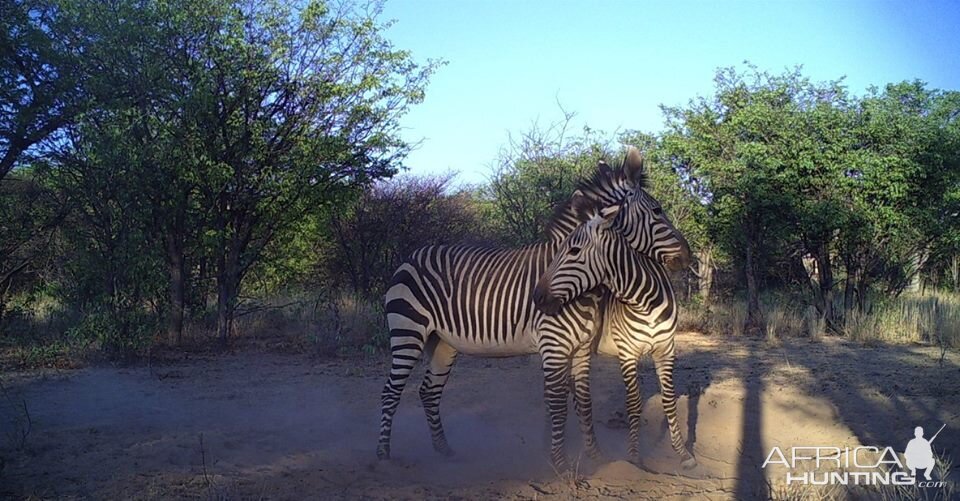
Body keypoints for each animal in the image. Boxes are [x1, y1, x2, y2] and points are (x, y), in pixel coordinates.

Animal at [532, 198, 696, 468]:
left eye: (573, 251)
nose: (537, 297)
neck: (646, 301)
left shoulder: (666, 349)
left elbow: (669, 401)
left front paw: (682, 453)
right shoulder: (627, 352)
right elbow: (634, 403)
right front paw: (634, 456)